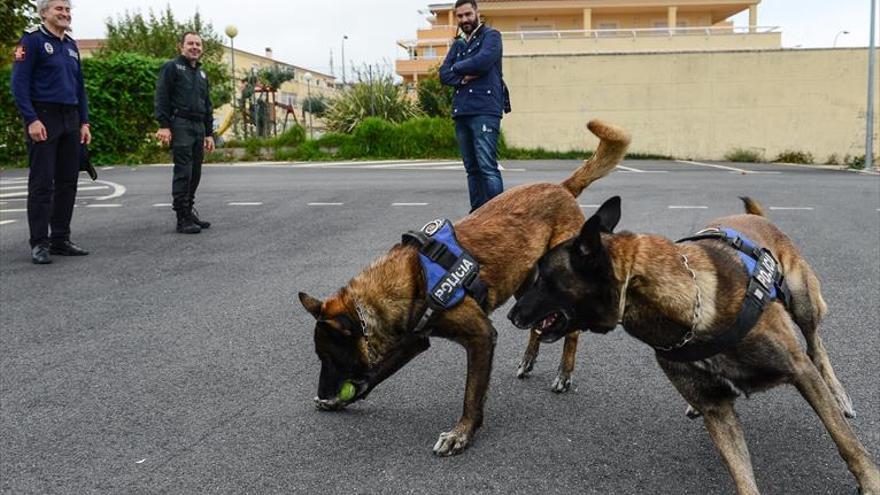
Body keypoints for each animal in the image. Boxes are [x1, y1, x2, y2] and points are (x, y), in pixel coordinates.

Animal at [300, 120, 628, 458]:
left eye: (328, 358)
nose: (323, 392)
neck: (412, 276)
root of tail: (562, 187)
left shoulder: (481, 337)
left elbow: (471, 394)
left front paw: (462, 433)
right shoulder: (414, 340)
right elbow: (376, 374)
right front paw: (344, 399)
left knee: (570, 332)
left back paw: (564, 373)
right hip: (529, 288)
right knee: (537, 324)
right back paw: (528, 360)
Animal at [508, 197, 880, 492]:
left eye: (543, 277)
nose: (511, 314)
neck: (690, 315)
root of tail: (758, 217)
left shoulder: (799, 370)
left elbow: (846, 441)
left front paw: (870, 482)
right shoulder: (718, 413)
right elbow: (742, 476)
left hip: (804, 305)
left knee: (817, 348)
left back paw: (839, 394)